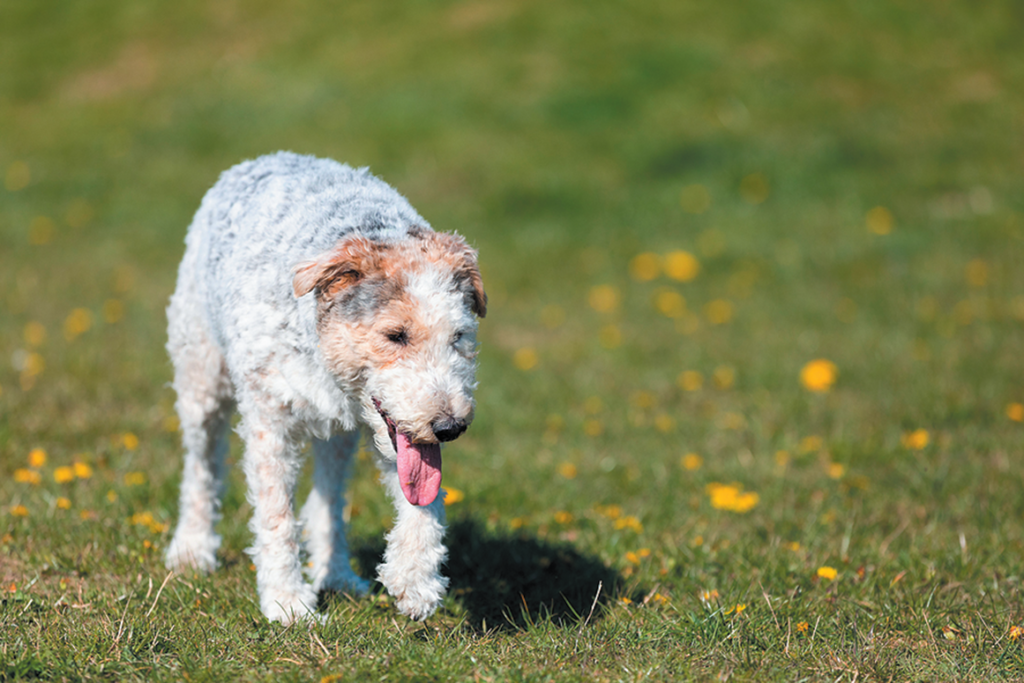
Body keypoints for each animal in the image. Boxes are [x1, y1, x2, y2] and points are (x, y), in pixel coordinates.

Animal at [162, 153, 487, 626]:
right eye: (396, 335)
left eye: (459, 336)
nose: (449, 427)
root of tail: (263, 157)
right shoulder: (270, 423)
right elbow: (276, 514)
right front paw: (287, 603)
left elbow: (424, 501)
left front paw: (415, 581)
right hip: (200, 378)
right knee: (201, 469)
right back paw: (191, 549)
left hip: (339, 437)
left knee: (329, 500)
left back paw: (336, 574)